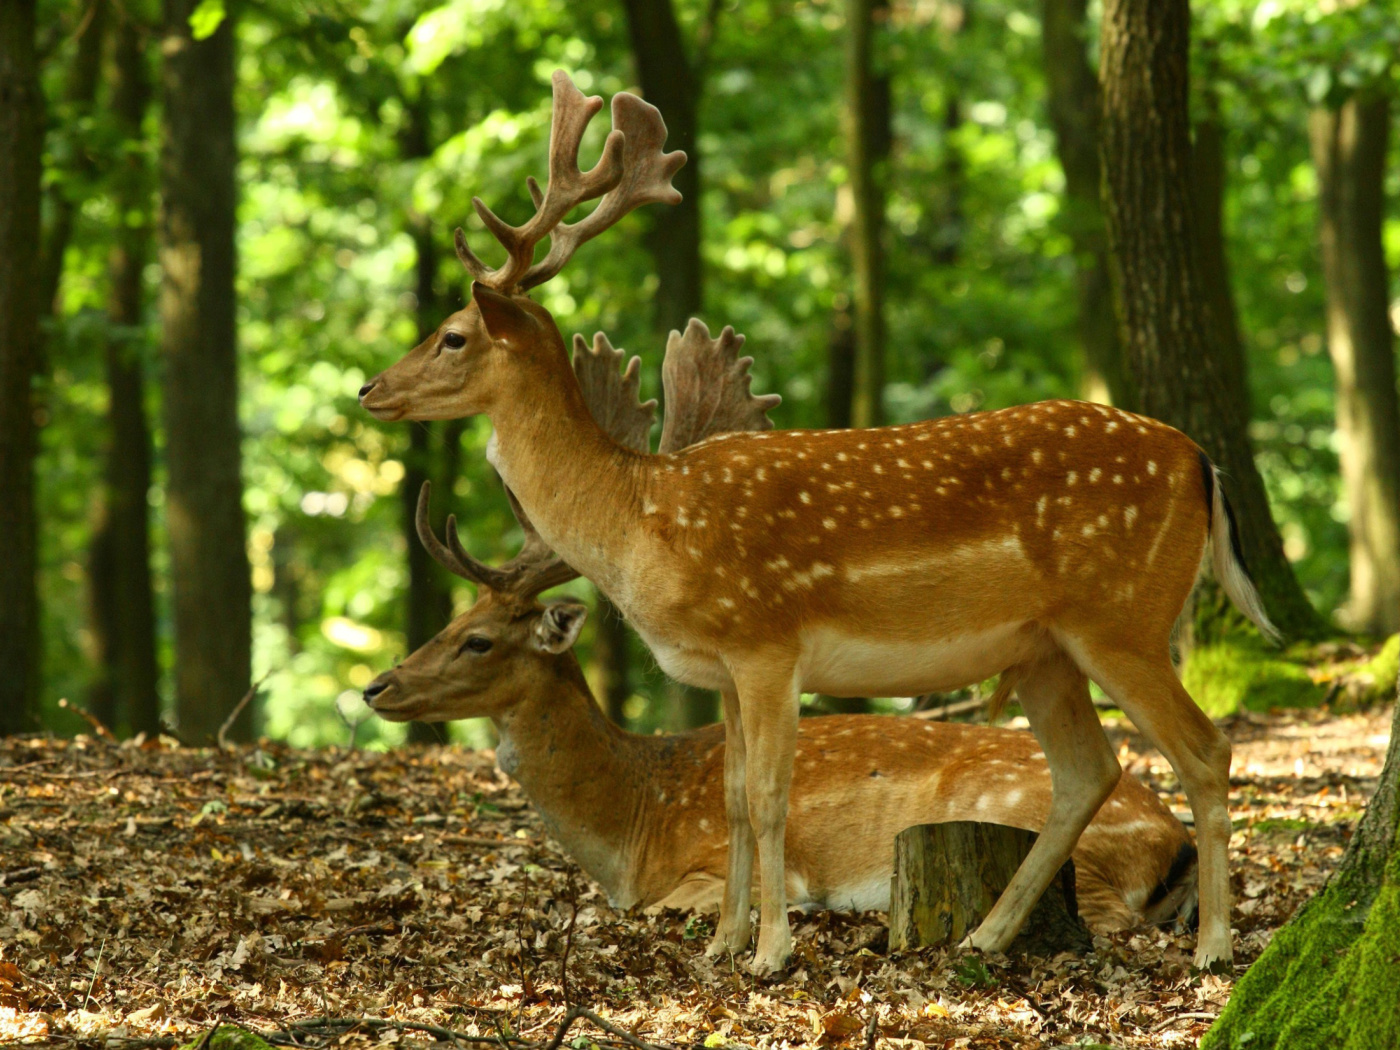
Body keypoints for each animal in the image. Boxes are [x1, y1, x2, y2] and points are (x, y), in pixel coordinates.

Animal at [358, 74, 1271, 974]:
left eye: (452, 335)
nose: (369, 388)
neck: (641, 522)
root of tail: (1202, 460)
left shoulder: (766, 639)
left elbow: (767, 797)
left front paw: (771, 954)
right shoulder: (723, 669)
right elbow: (731, 797)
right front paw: (722, 946)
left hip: (1123, 617)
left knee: (1205, 750)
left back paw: (1214, 949)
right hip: (1046, 648)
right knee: (1090, 770)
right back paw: (984, 936)